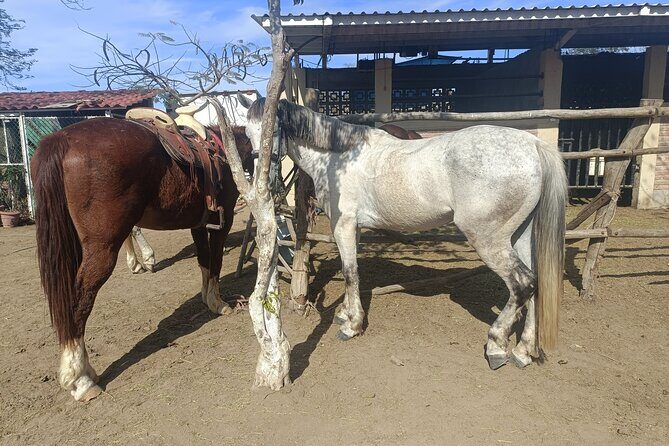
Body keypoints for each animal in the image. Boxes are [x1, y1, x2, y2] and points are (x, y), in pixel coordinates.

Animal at [31, 117, 253, 402]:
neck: (224, 151)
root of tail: (61, 140)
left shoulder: (199, 225)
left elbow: (204, 261)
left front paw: (207, 300)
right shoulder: (221, 224)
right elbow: (215, 263)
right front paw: (219, 304)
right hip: (102, 249)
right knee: (78, 301)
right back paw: (80, 380)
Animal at [245, 98, 567, 371]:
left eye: (273, 130)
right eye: (247, 135)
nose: (265, 183)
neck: (339, 157)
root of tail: (533, 144)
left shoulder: (344, 225)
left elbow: (350, 273)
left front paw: (351, 326)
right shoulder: (353, 228)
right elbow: (353, 272)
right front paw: (346, 314)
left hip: (489, 239)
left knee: (523, 284)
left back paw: (497, 346)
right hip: (520, 235)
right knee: (537, 284)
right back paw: (523, 352)